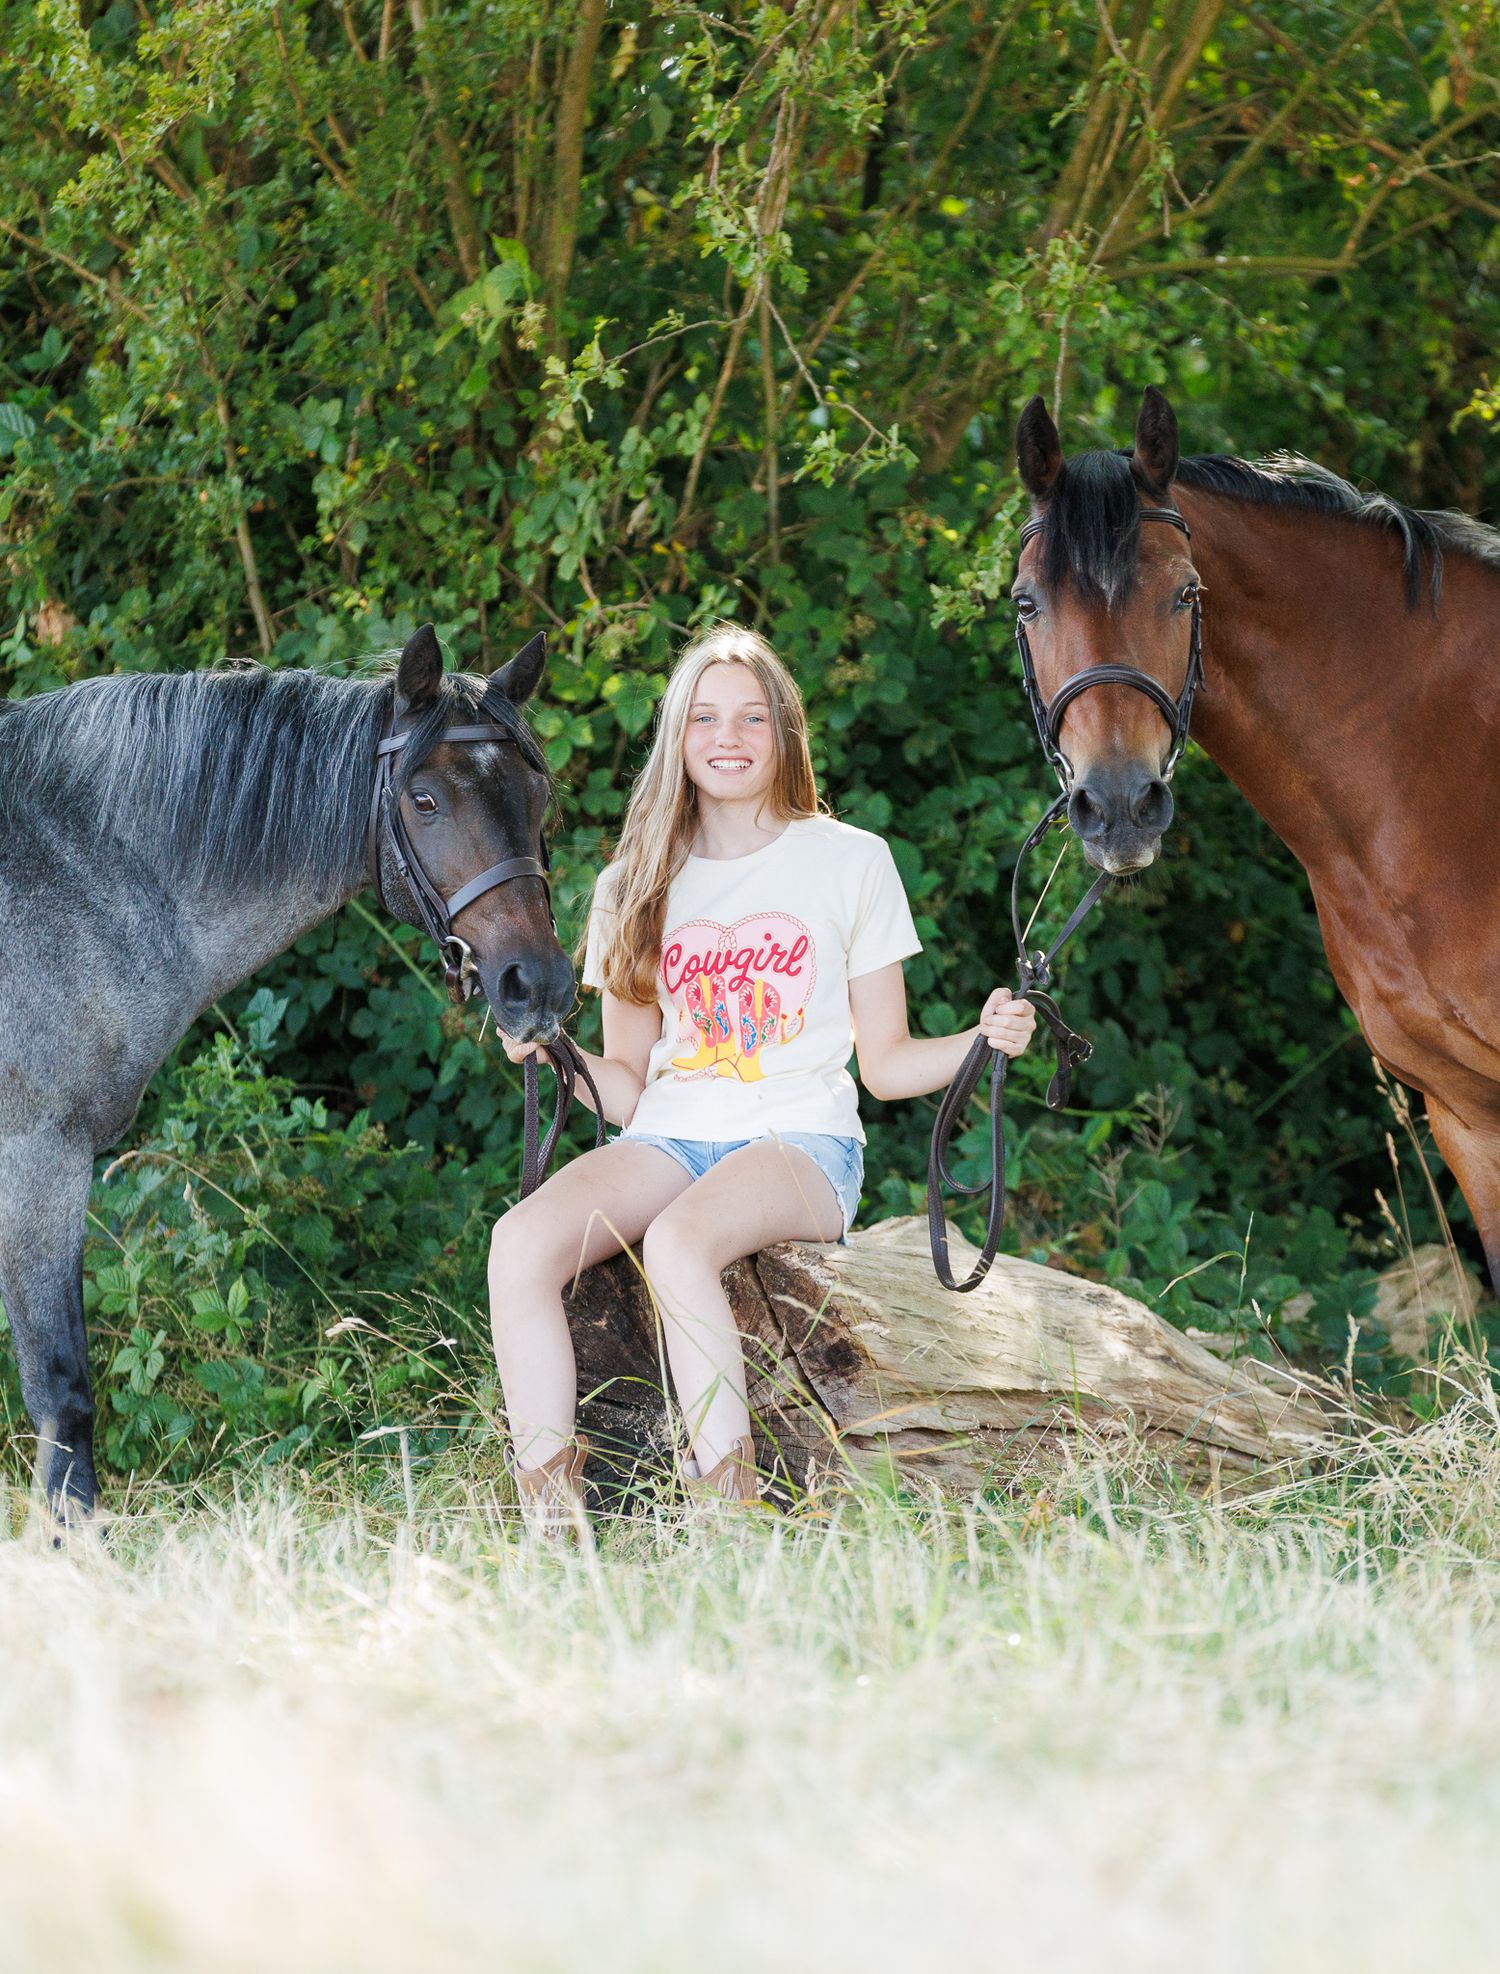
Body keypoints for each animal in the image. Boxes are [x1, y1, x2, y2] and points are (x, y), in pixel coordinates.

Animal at [0, 623, 572, 1522]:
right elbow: (63, 1396)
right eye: (425, 801)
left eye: (537, 794)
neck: (70, 877)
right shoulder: (36, 1158)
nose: (538, 987)